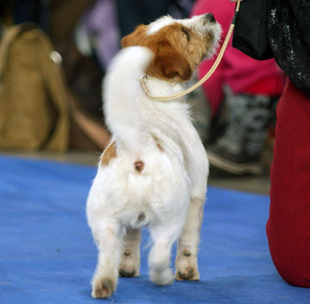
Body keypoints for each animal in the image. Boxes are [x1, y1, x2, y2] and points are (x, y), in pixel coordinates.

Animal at [86, 13, 222, 298]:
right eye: (185, 33)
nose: (210, 16)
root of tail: (139, 150)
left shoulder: (128, 222)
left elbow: (130, 241)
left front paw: (127, 267)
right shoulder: (196, 194)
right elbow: (189, 242)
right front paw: (188, 272)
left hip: (104, 219)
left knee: (109, 252)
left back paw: (105, 284)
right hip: (170, 217)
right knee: (159, 254)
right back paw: (164, 277)